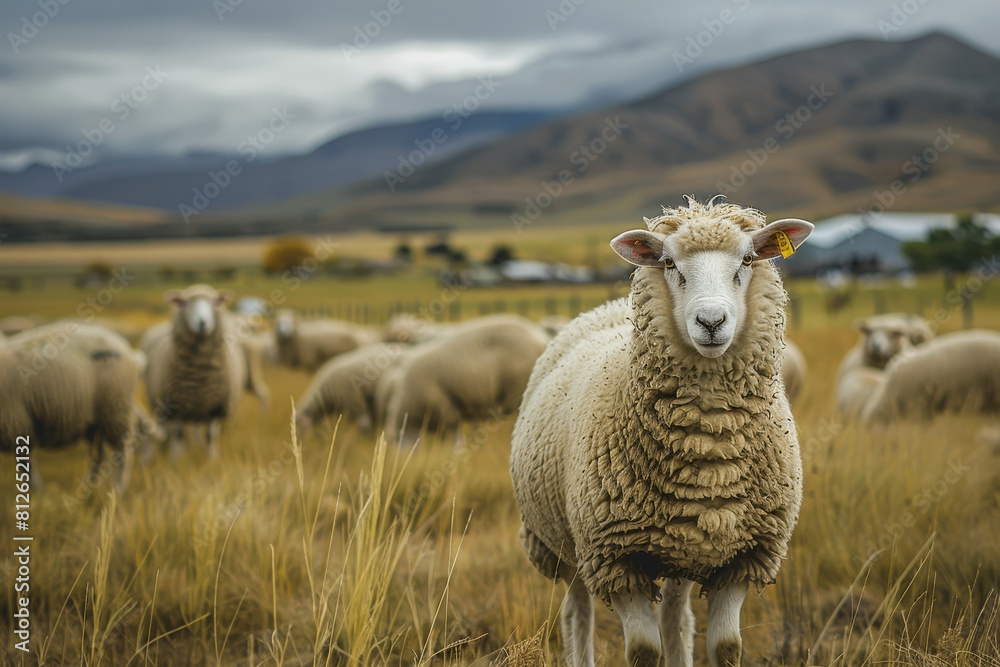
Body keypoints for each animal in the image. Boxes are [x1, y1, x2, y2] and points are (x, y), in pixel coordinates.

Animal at [1, 322, 146, 492]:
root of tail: (131, 352)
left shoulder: (18, 423)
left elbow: (26, 464)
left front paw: (35, 491)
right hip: (96, 421)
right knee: (97, 455)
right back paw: (89, 488)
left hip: (116, 408)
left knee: (122, 452)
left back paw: (118, 489)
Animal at [143, 284, 250, 459]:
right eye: (185, 303)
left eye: (215, 302)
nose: (202, 322)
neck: (199, 378)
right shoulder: (177, 405)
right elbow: (178, 434)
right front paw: (177, 460)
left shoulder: (215, 407)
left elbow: (210, 436)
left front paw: (211, 460)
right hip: (159, 404)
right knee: (165, 429)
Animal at [510, 198, 813, 667]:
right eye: (669, 263)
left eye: (747, 259)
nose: (711, 320)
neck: (709, 442)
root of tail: (603, 308)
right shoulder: (616, 559)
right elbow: (643, 651)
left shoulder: (744, 557)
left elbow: (726, 647)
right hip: (564, 544)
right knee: (576, 613)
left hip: (683, 546)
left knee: (676, 616)